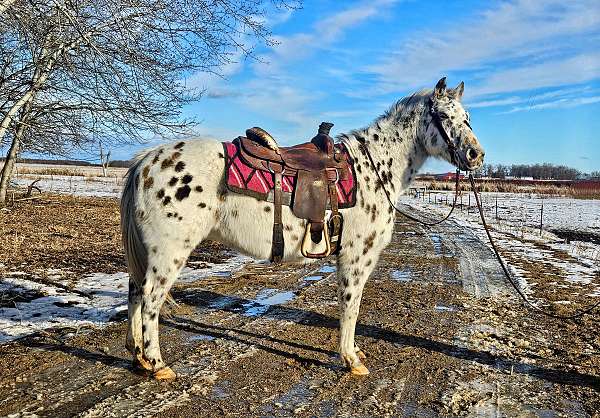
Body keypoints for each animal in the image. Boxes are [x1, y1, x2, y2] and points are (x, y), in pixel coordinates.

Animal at [119, 77, 486, 378]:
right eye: (445, 117)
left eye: (467, 117)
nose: (476, 155)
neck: (374, 170)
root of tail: (145, 162)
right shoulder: (356, 257)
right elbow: (350, 306)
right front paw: (351, 360)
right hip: (169, 254)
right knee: (151, 300)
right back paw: (158, 365)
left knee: (135, 293)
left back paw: (138, 358)